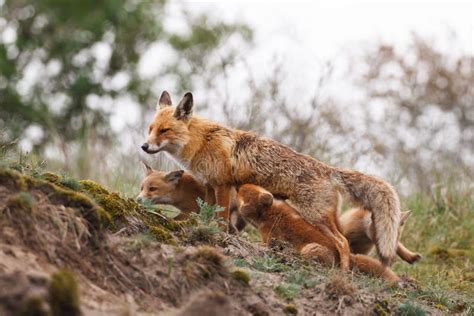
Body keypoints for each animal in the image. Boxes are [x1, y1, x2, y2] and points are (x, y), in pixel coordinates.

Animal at [143, 91, 402, 266]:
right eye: (150, 129)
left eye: (164, 131)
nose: (144, 146)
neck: (201, 142)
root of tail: (326, 168)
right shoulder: (209, 185)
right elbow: (207, 213)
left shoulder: (223, 185)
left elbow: (221, 219)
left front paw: (219, 239)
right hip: (327, 217)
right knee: (344, 240)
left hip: (315, 216)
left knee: (343, 243)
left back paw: (343, 273)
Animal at [236, 183, 400, 284]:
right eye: (250, 186)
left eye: (241, 193)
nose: (238, 186)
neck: (271, 212)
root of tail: (351, 257)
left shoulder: (268, 235)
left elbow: (263, 243)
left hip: (311, 248)